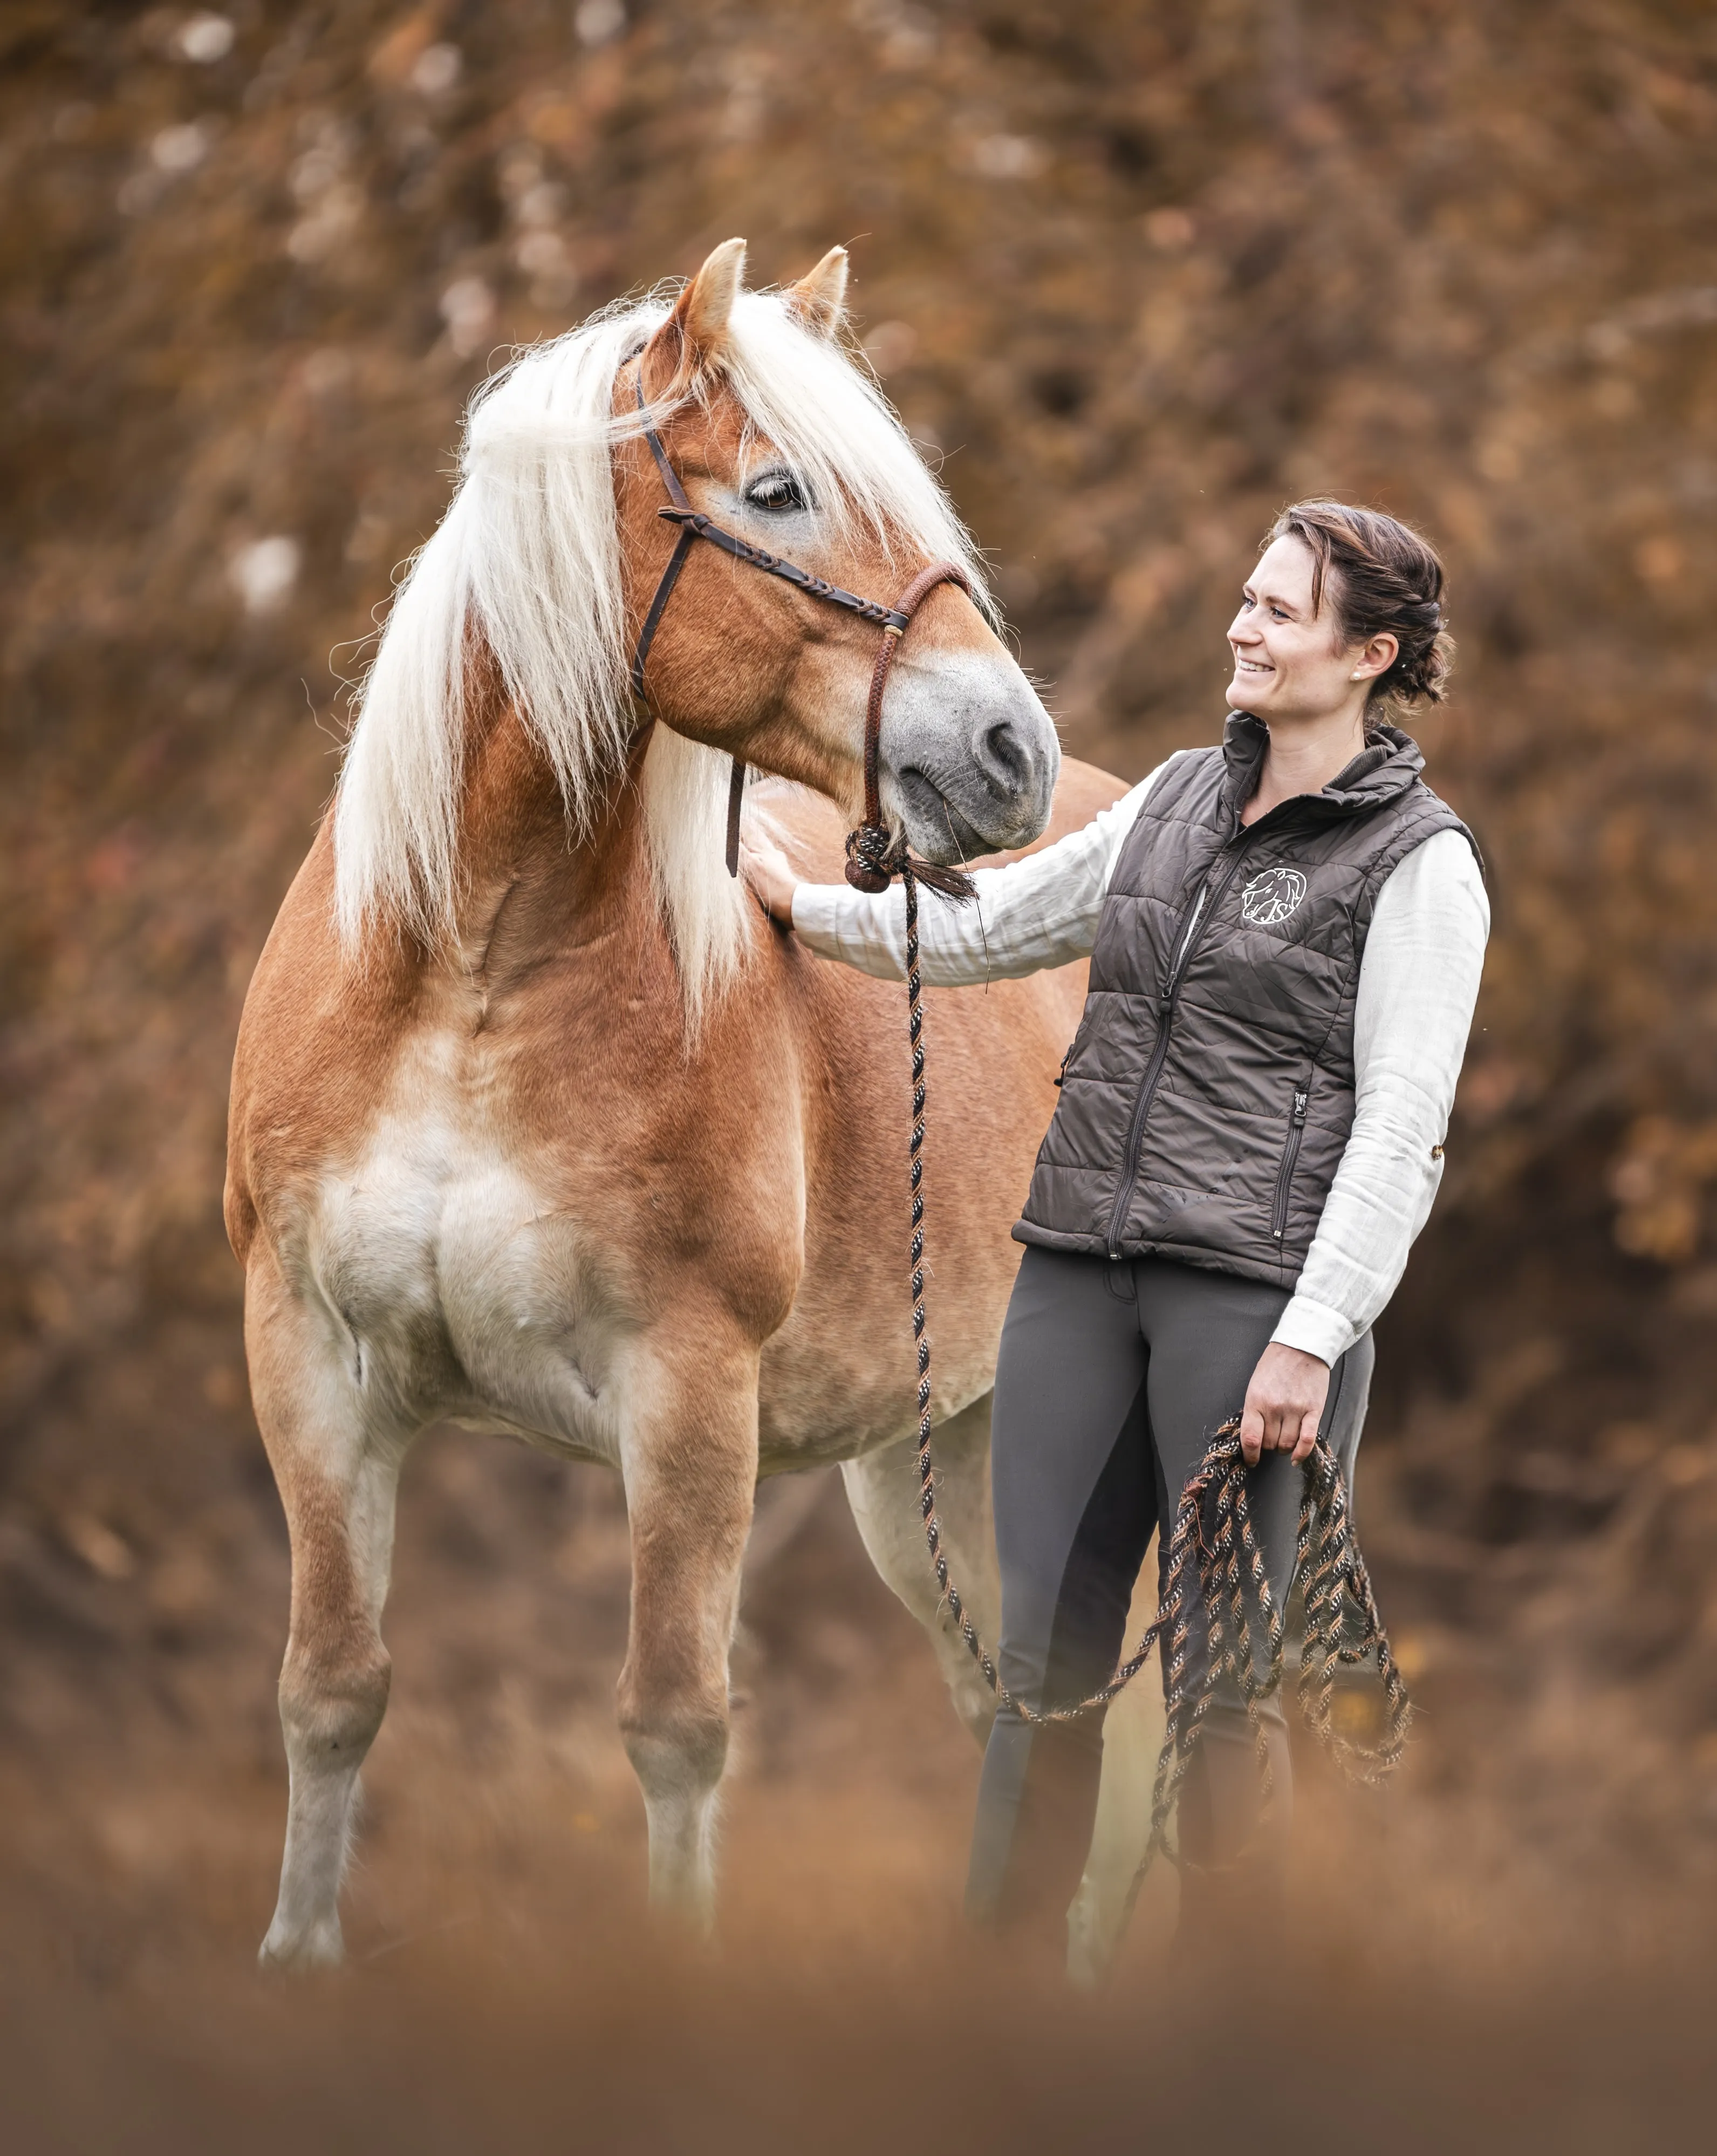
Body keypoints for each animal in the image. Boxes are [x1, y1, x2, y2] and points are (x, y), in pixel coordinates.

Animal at [225, 238, 1133, 1969]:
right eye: (776, 490)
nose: (1009, 752)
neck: (472, 980)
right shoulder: (310, 1358)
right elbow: (327, 1690)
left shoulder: (687, 1393)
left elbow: (673, 1725)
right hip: (944, 1457)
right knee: (1025, 1710)